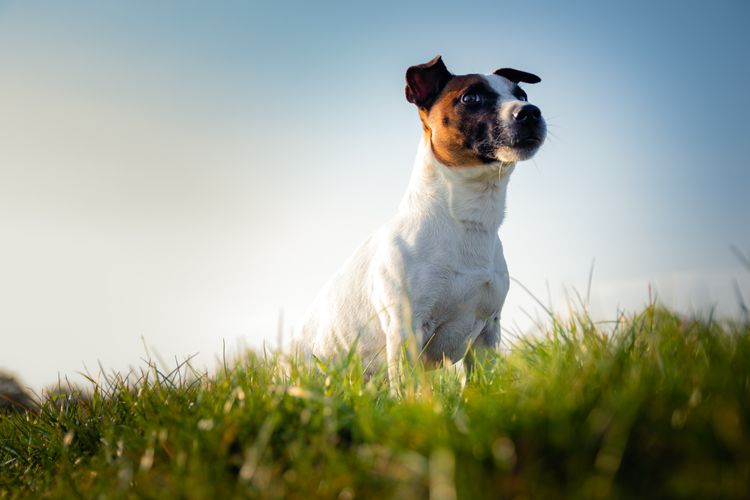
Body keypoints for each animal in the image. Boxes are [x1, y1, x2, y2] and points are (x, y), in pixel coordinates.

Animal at [294, 54, 548, 382]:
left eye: (523, 95)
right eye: (471, 98)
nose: (530, 112)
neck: (466, 221)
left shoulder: (485, 336)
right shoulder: (406, 331)